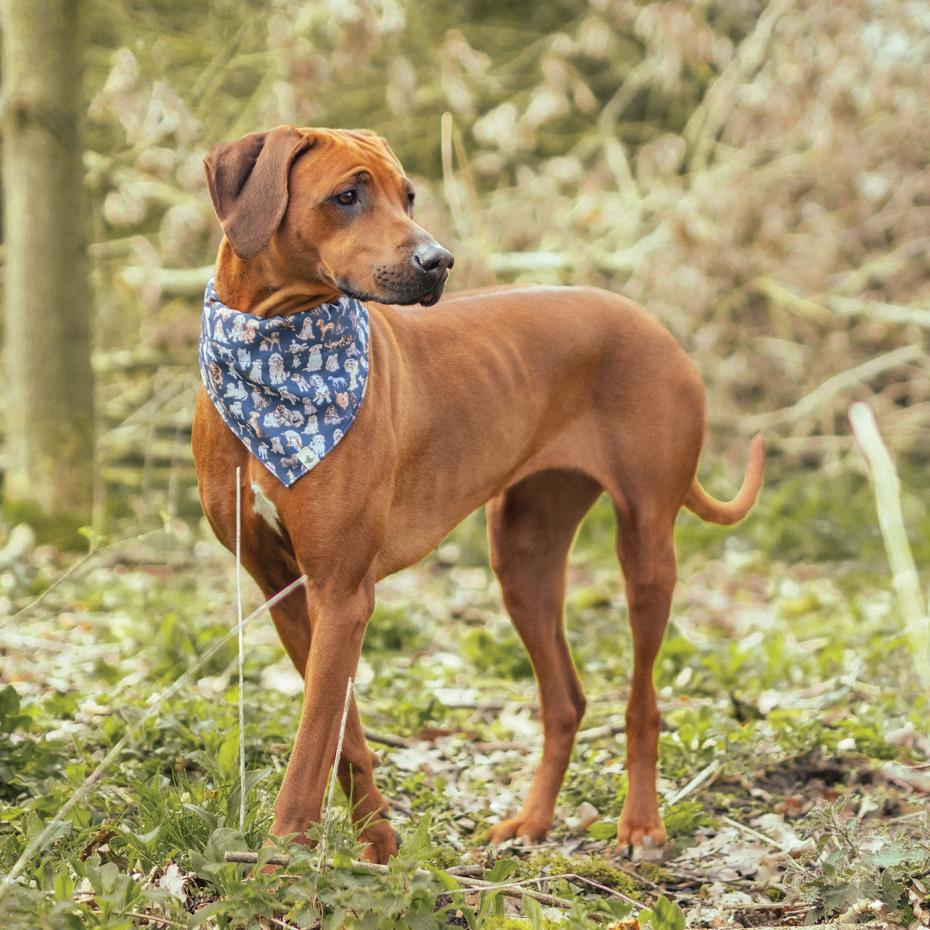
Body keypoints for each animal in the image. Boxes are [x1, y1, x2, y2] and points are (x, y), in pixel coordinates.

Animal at [190, 123, 760, 864]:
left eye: (408, 196)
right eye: (346, 196)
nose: (439, 261)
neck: (273, 349)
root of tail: (652, 322)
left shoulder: (342, 591)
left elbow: (313, 741)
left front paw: (282, 856)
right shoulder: (284, 587)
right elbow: (341, 733)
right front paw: (378, 846)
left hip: (646, 547)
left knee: (643, 702)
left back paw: (640, 825)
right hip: (523, 555)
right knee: (565, 699)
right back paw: (533, 821)